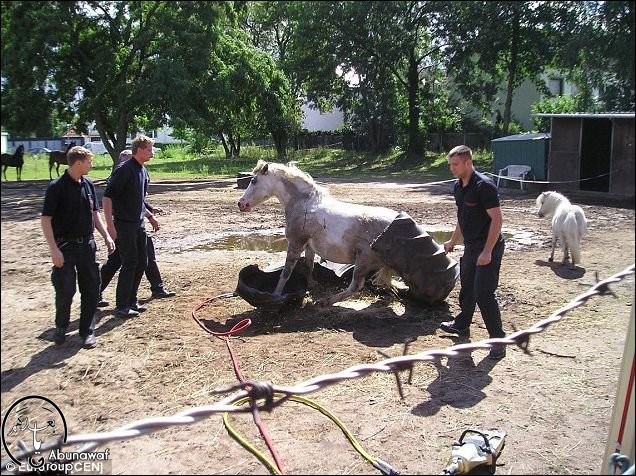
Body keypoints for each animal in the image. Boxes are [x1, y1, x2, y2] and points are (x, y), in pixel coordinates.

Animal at [238, 162, 398, 306]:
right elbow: (309, 266)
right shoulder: (309, 247)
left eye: (253, 181)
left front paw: (276, 295)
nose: (241, 204)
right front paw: (310, 285)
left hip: (362, 262)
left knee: (355, 287)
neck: (304, 204)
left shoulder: (295, 244)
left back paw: (325, 301)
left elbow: (286, 272)